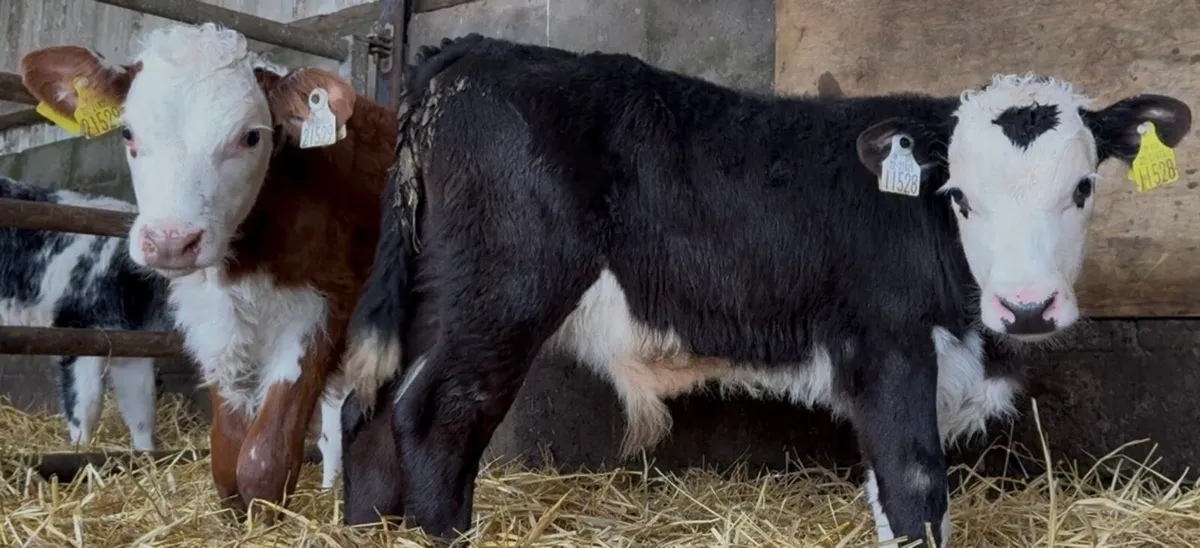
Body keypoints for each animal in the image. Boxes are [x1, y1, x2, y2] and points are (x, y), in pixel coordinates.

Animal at [0, 176, 169, 452]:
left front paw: (146, 453)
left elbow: (142, 405)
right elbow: (86, 402)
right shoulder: (77, 328)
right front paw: (82, 449)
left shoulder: (132, 341)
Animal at [18, 22, 398, 512]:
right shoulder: (209, 317)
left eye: (251, 137)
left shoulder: (323, 308)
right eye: (127, 133)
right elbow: (228, 456)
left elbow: (264, 457)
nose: (171, 242)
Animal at [337, 36, 1191, 545]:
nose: (1027, 306)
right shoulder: (887, 346)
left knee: (367, 407)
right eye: (960, 196)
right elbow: (914, 485)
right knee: (440, 412)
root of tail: (473, 48)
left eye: (1083, 187)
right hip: (505, 292)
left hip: (435, 293)